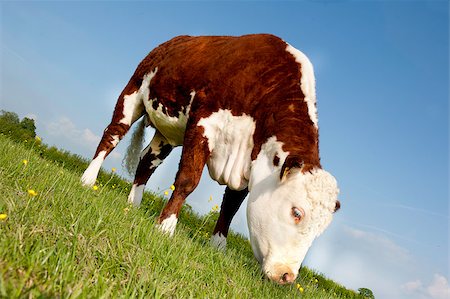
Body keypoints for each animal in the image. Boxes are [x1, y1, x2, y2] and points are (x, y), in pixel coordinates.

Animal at [81, 33, 342, 286]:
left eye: (321, 230)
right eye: (296, 212)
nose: (287, 276)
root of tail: (172, 41)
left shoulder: (249, 163)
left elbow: (231, 206)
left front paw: (218, 245)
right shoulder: (203, 123)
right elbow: (188, 180)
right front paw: (166, 226)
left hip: (168, 131)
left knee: (147, 160)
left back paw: (134, 202)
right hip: (132, 92)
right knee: (112, 135)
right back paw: (88, 179)